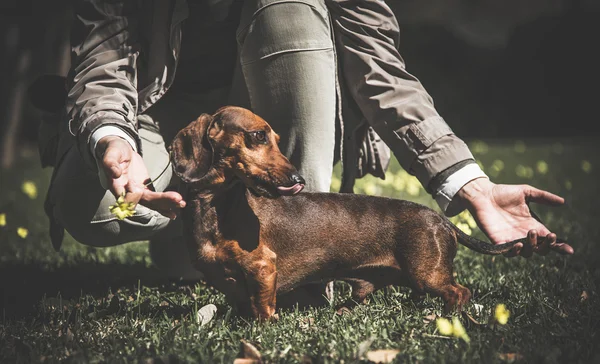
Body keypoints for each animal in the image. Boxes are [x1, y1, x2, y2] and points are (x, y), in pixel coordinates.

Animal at [170, 105, 540, 318]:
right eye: (258, 135)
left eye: (274, 137)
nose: (298, 180)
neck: (218, 207)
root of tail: (442, 220)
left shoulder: (263, 269)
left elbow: (262, 309)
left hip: (428, 274)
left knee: (459, 292)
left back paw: (445, 318)